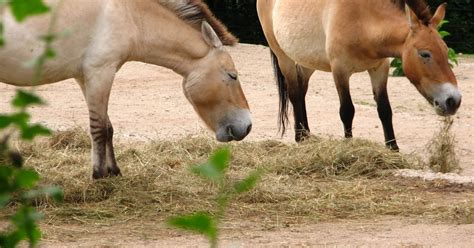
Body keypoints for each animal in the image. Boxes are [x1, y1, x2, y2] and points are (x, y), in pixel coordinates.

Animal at [0, 0, 252, 178]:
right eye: (232, 75)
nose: (248, 126)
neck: (129, 13)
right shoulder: (101, 73)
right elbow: (99, 129)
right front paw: (99, 176)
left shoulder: (85, 77)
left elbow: (108, 128)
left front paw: (113, 172)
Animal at [258, 0, 462, 149]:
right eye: (425, 54)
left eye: (446, 51)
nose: (453, 100)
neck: (363, 18)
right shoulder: (340, 71)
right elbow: (347, 111)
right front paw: (348, 146)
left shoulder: (379, 69)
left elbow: (385, 110)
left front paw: (393, 149)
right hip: (283, 57)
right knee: (294, 93)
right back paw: (299, 137)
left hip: (307, 61)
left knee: (301, 93)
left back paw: (306, 135)